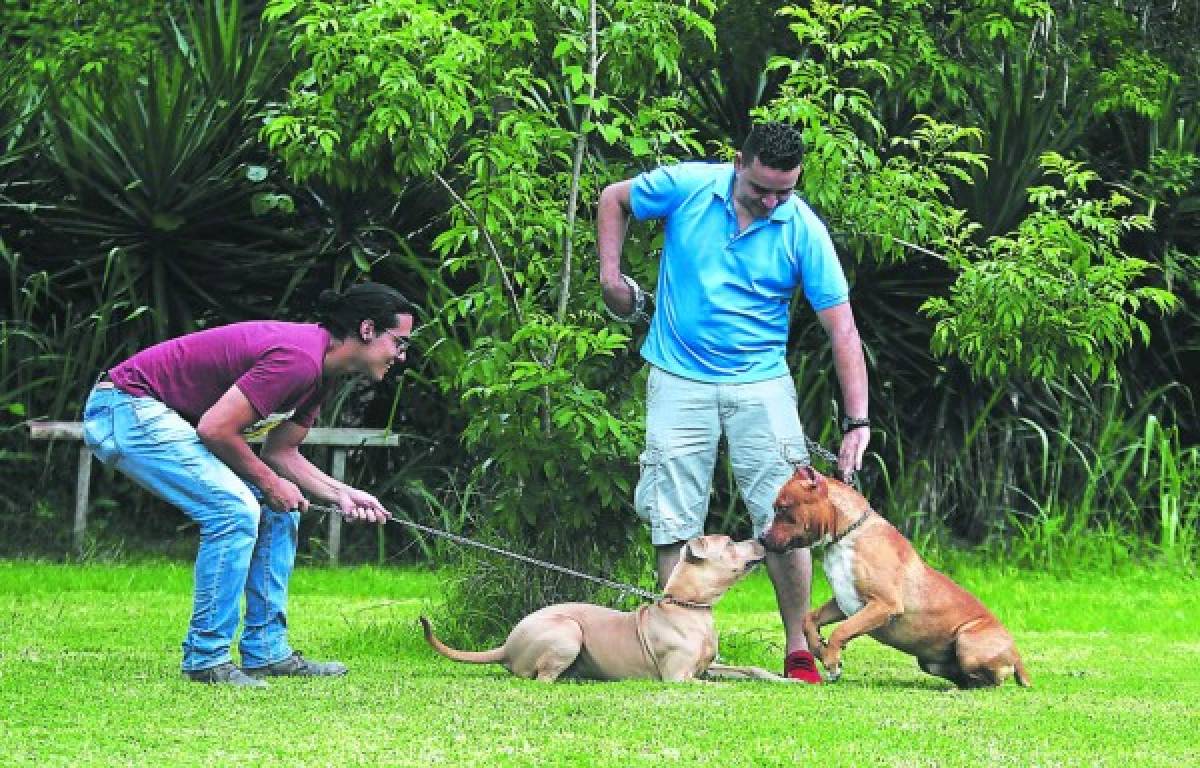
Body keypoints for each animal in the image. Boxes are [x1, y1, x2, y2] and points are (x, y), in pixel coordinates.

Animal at [417, 532, 792, 681]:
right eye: (728, 543)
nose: (761, 539)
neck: (687, 606)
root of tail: (507, 645)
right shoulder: (678, 678)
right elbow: (718, 686)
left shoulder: (707, 667)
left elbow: (751, 670)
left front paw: (786, 680)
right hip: (567, 631)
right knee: (541, 678)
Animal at [758, 468, 1032, 691]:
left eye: (782, 507)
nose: (761, 538)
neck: (846, 534)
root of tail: (1016, 653)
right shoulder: (844, 601)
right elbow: (809, 619)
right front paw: (819, 648)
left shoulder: (883, 604)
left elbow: (841, 630)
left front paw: (832, 662)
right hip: (931, 661)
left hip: (967, 641)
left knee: (993, 681)